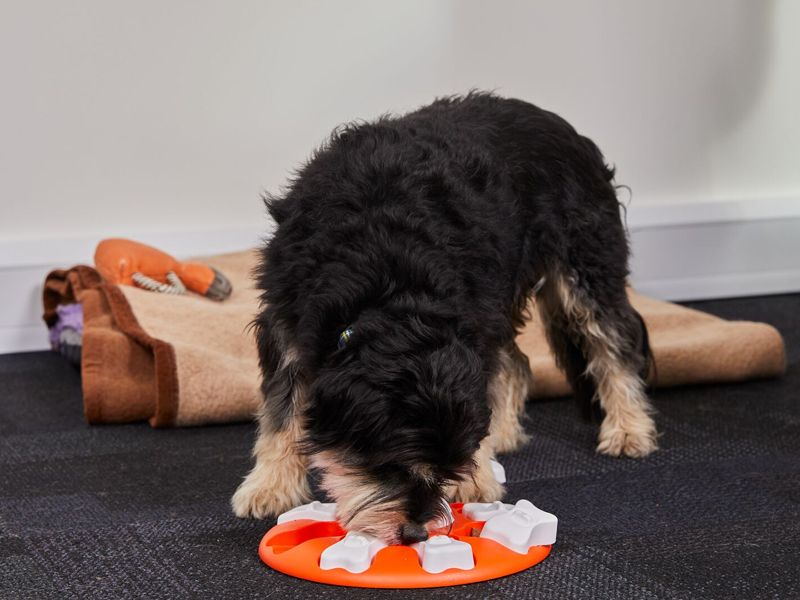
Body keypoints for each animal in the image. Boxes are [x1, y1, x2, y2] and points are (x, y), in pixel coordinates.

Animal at [231, 92, 656, 544]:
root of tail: (559, 123)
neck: (391, 280)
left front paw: (474, 476)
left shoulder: (473, 323)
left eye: (446, 465)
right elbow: (282, 412)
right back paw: (507, 431)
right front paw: (270, 487)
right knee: (518, 362)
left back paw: (629, 430)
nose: (414, 533)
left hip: (585, 264)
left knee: (614, 344)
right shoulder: (287, 321)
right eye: (390, 465)